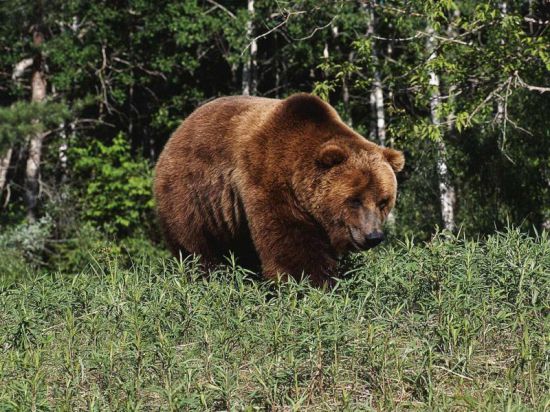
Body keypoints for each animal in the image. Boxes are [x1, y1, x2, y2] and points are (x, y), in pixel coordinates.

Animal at [155, 93, 406, 286]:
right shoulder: (268, 181)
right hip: (192, 196)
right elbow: (291, 245)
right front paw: (313, 284)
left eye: (383, 201)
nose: (373, 236)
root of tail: (177, 132)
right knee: (197, 247)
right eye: (354, 199)